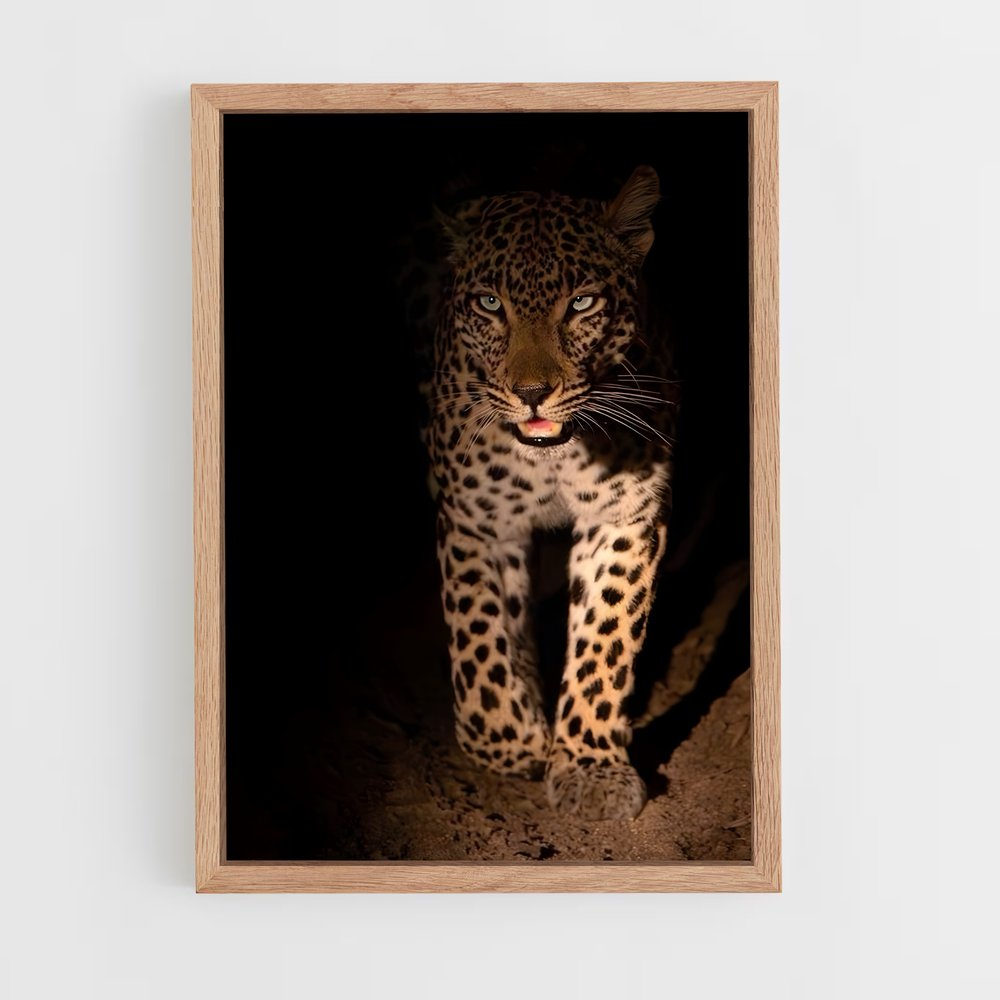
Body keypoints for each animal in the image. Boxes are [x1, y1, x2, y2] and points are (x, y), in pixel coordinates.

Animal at [426, 166, 674, 821]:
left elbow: (604, 639)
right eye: (491, 304)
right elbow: (479, 644)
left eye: (581, 303)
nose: (533, 393)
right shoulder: (475, 522)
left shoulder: (625, 515)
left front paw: (591, 767)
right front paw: (515, 741)